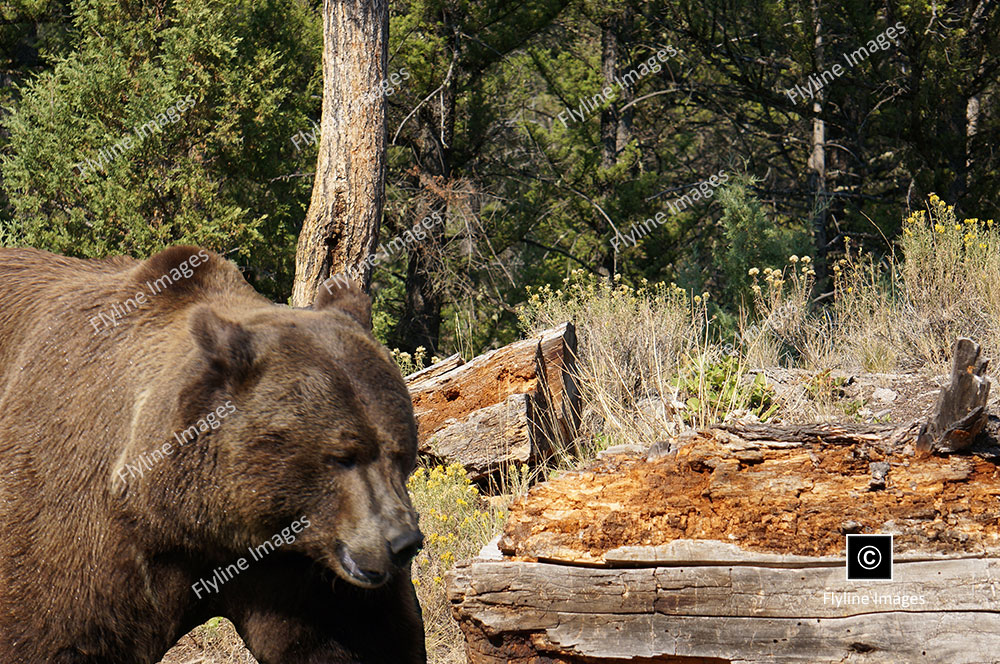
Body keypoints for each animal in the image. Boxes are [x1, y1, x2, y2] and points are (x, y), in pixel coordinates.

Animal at [0, 246, 426, 660]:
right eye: (343, 455)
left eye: (400, 452)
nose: (402, 541)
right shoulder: (83, 527)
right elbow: (52, 631)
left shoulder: (295, 569)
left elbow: (357, 637)